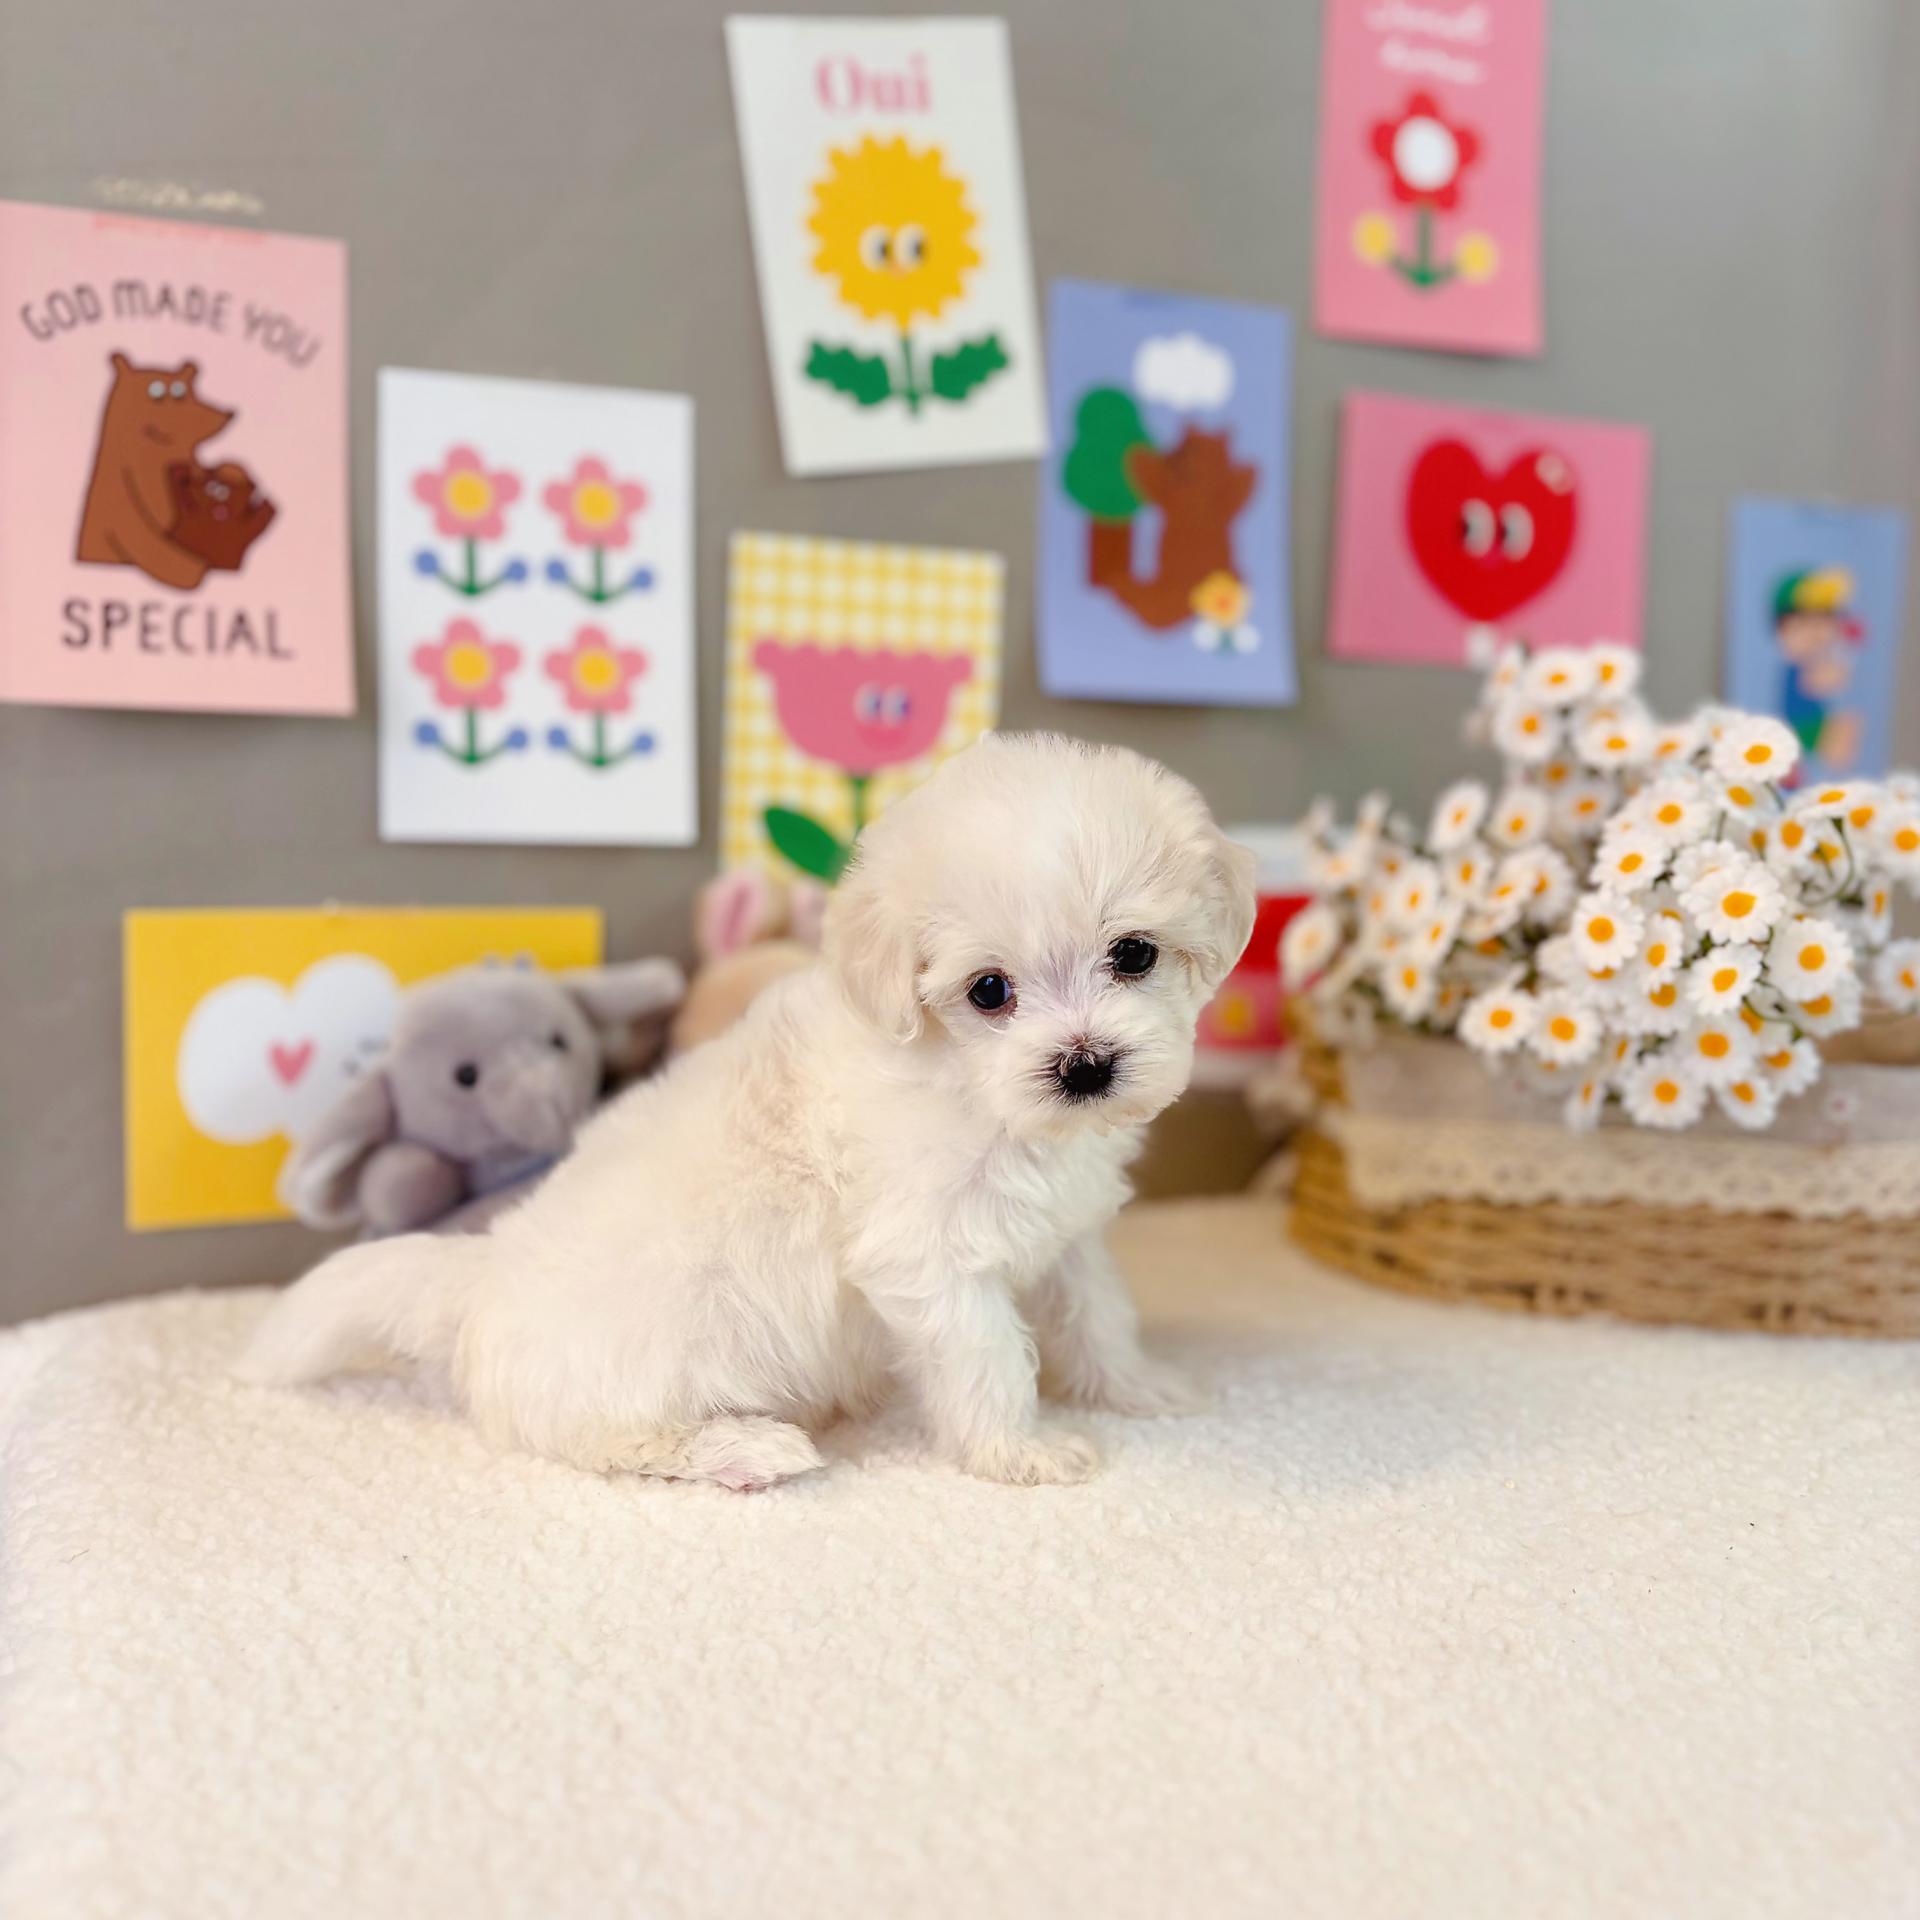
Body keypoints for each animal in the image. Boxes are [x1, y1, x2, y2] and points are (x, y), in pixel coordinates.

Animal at [239, 734, 1257, 1490]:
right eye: (989, 991)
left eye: (1133, 953)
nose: (1085, 1066)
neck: (979, 1094)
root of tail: (484, 1275)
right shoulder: (929, 1260)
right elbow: (988, 1356)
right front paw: (1021, 1451)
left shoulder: (1069, 1232)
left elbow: (1098, 1312)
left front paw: (1140, 1387)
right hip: (640, 1365)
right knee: (619, 1443)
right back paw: (746, 1448)